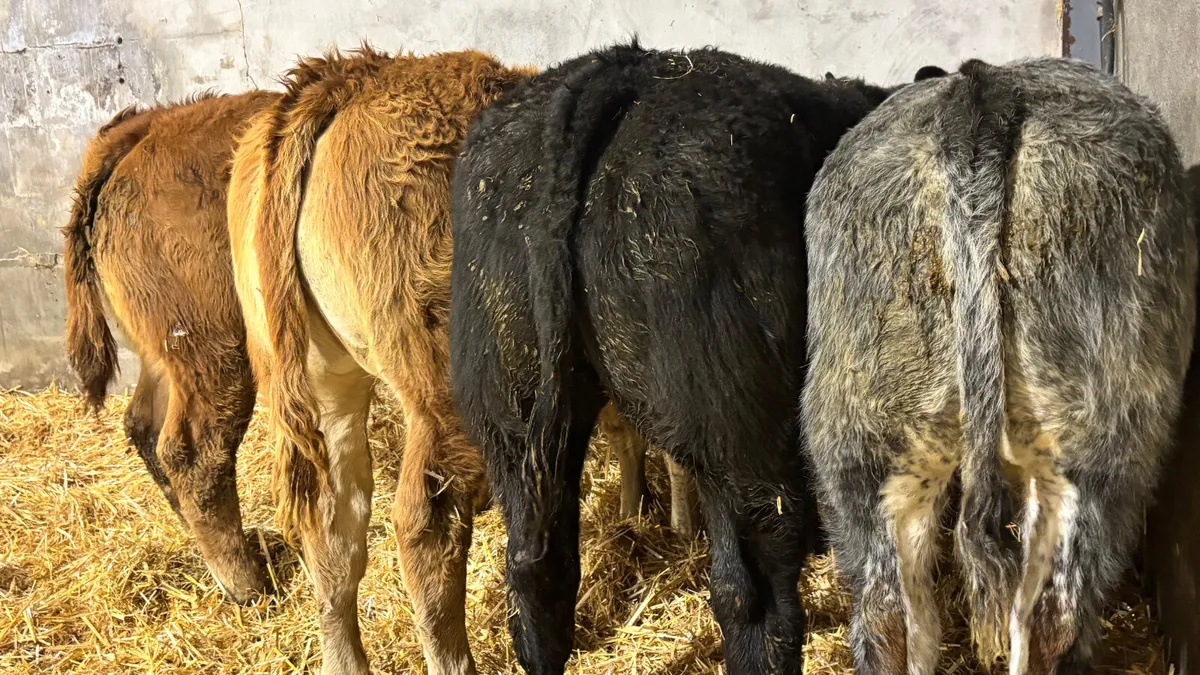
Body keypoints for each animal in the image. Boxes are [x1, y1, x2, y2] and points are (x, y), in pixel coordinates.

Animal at [63, 91, 280, 602]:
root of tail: (147, 129)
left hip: (166, 353)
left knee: (143, 425)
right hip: (216, 349)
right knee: (195, 453)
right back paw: (248, 585)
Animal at [227, 46, 695, 675]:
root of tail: (346, 80)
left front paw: (635, 514)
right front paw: (680, 530)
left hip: (324, 383)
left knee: (333, 523)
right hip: (443, 387)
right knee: (423, 525)